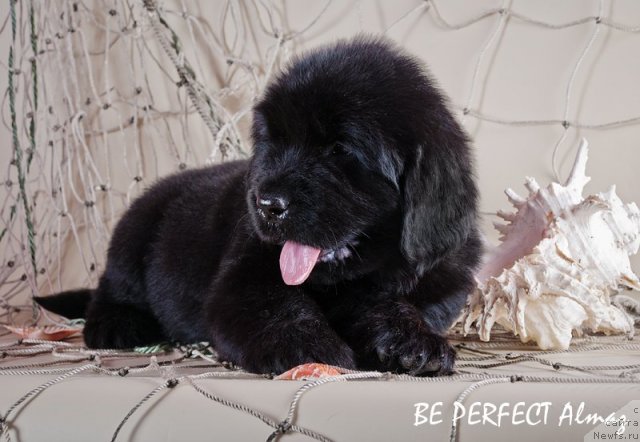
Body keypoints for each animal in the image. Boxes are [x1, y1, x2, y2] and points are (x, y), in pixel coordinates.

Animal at [36, 36, 480, 376]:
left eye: (339, 151)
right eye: (274, 144)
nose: (266, 204)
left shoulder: (438, 288)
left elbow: (393, 305)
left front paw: (412, 341)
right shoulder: (243, 276)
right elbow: (275, 306)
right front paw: (308, 347)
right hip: (134, 234)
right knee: (109, 289)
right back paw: (117, 324)